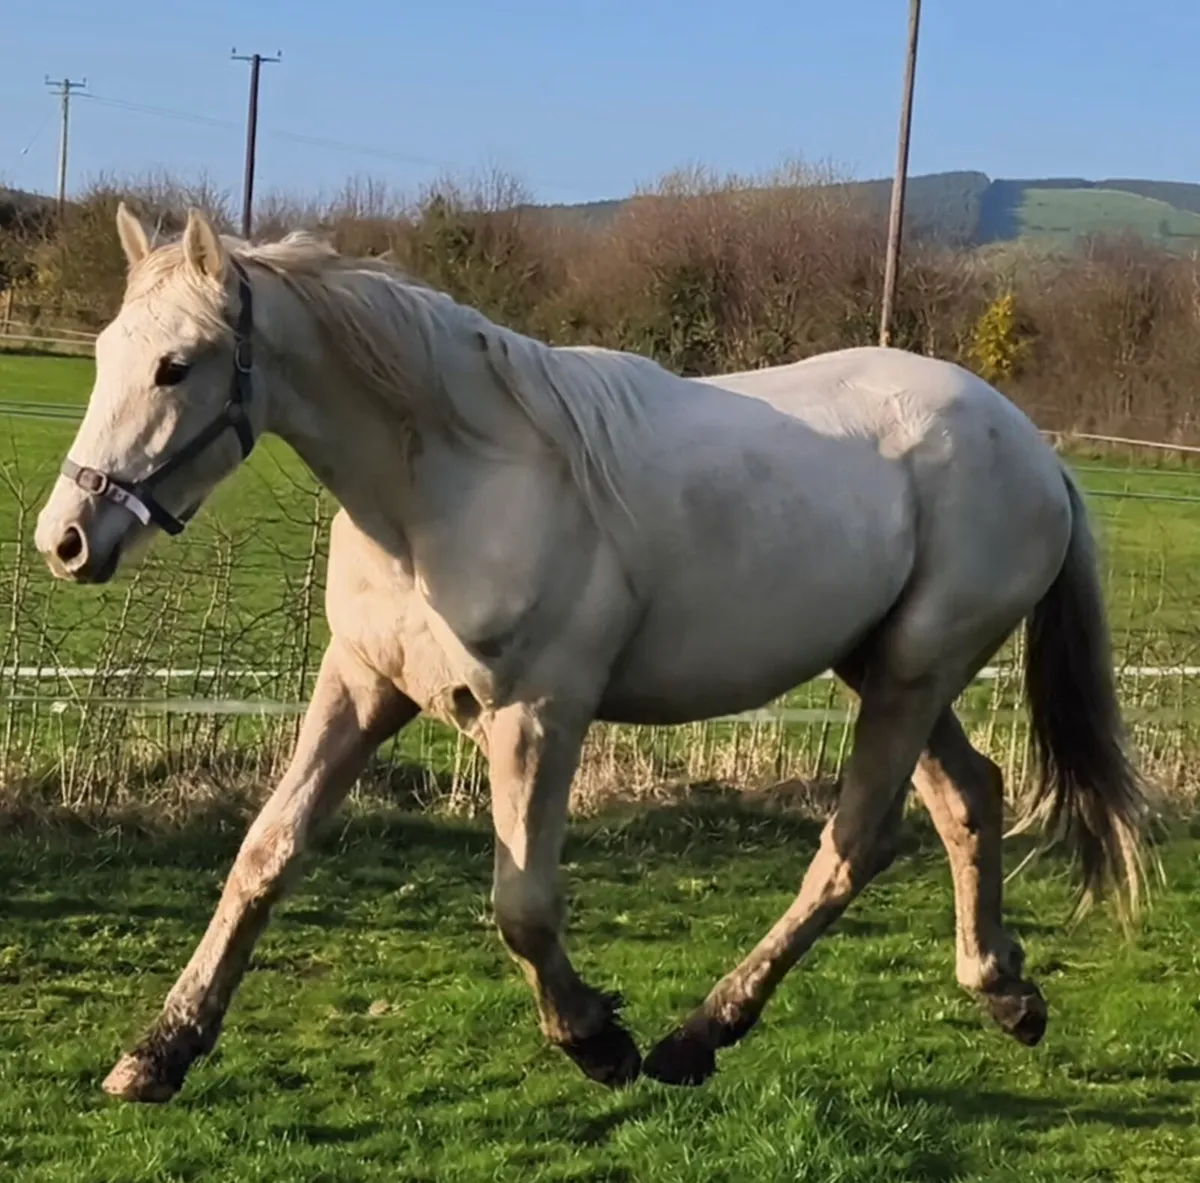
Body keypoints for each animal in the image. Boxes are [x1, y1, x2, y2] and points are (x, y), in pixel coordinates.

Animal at [33, 205, 1149, 1103]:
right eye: (105, 351)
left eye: (176, 366)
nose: (66, 539)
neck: (451, 483)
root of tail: (1033, 448)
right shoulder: (361, 686)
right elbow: (264, 854)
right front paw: (160, 1051)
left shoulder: (539, 715)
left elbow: (522, 905)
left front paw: (597, 1041)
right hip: (884, 669)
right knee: (970, 797)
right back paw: (1003, 989)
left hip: (914, 672)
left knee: (852, 848)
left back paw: (700, 1036)